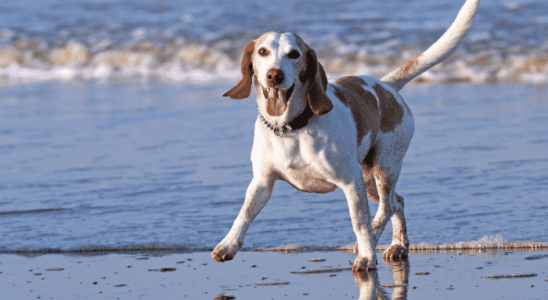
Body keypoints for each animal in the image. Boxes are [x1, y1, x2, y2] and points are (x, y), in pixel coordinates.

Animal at [212, 0, 478, 272]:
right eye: (263, 51)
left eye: (294, 54)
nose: (274, 75)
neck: (291, 129)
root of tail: (387, 86)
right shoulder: (262, 182)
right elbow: (243, 214)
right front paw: (228, 245)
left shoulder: (350, 182)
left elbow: (360, 223)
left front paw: (366, 256)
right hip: (369, 179)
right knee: (398, 202)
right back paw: (398, 245)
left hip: (384, 168)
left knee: (387, 208)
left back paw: (373, 243)